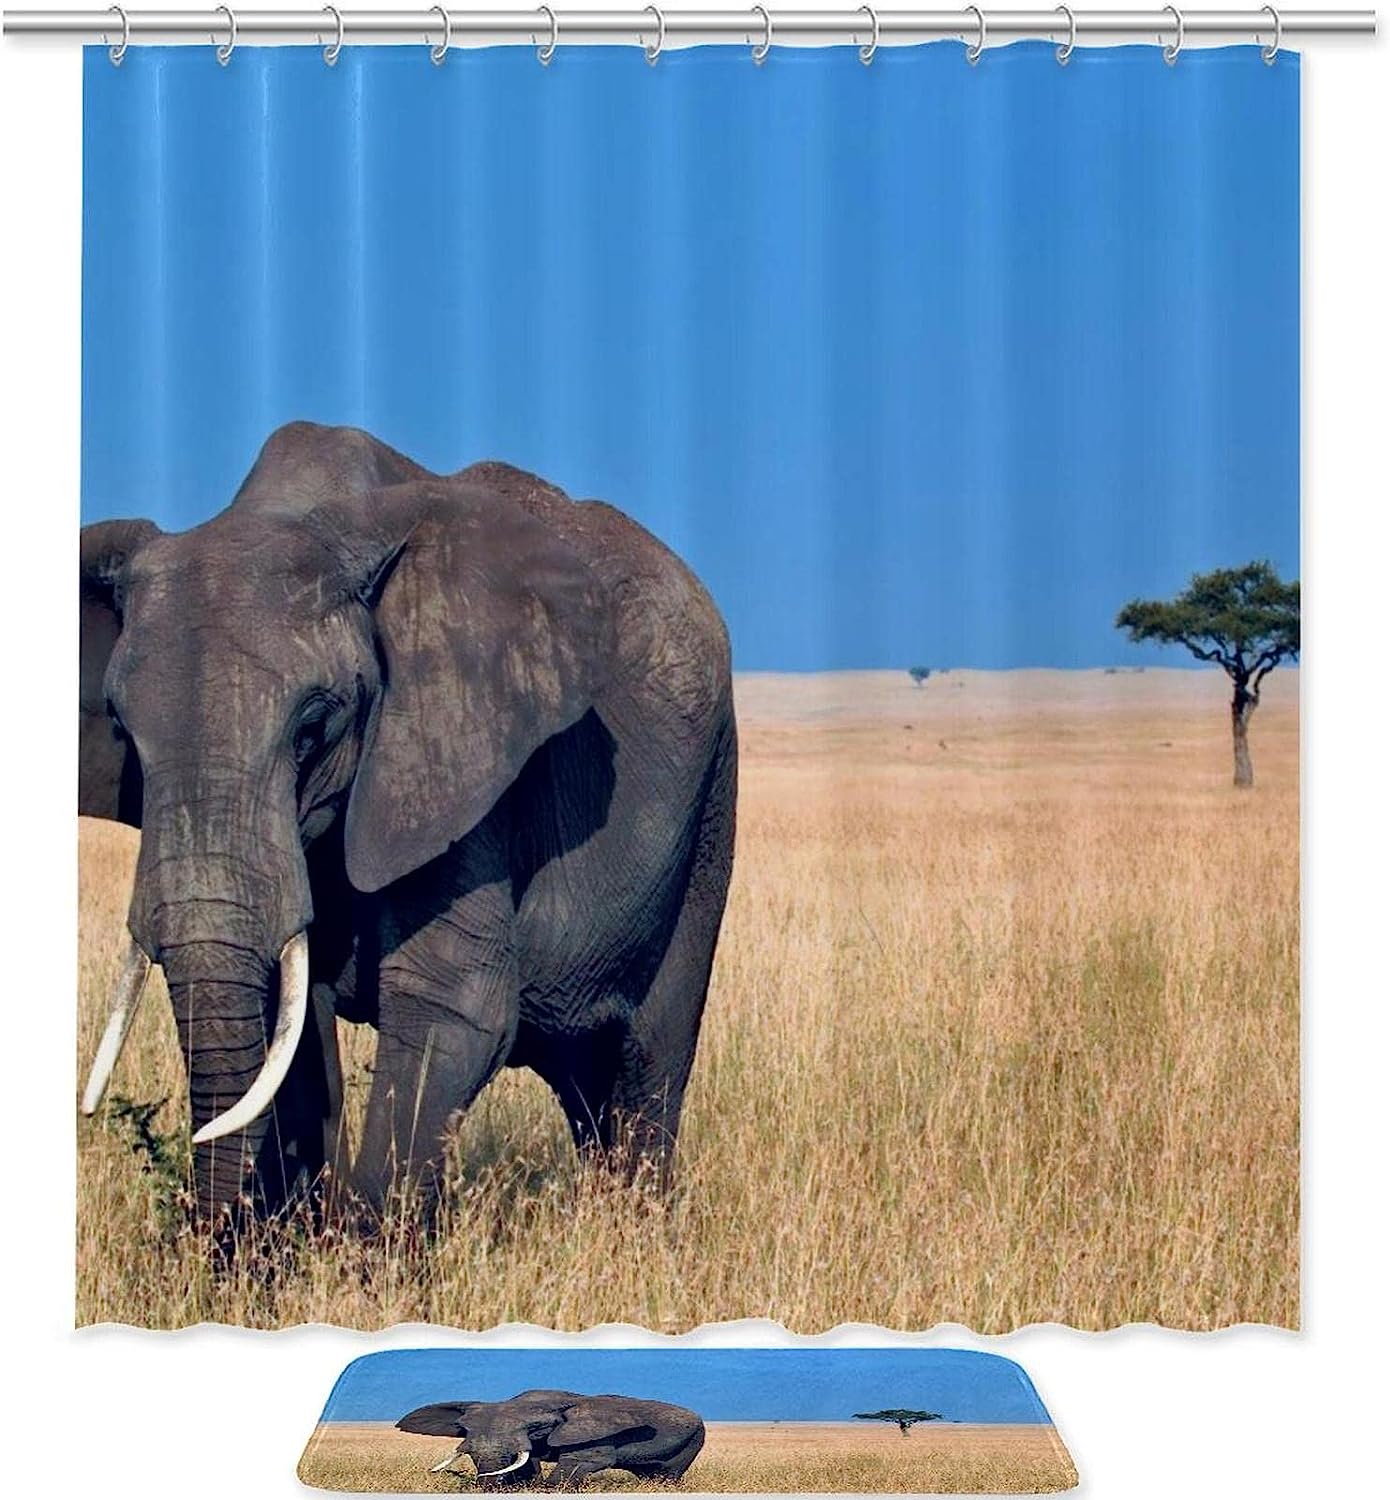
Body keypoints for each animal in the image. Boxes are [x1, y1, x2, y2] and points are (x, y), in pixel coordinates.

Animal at [78, 420, 737, 1231]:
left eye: (313, 728)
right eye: (121, 729)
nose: (213, 1240)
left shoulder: (460, 750)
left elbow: (451, 1002)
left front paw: (365, 1255)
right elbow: (290, 1030)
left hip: (711, 799)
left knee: (649, 1058)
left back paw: (637, 1230)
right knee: (584, 1080)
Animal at [396, 1390, 706, 1488]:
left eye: (537, 1429)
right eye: (462, 1427)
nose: (485, 1486)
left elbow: (584, 1458)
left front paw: (547, 1488)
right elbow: (528, 1461)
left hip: (694, 1439)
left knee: (669, 1473)